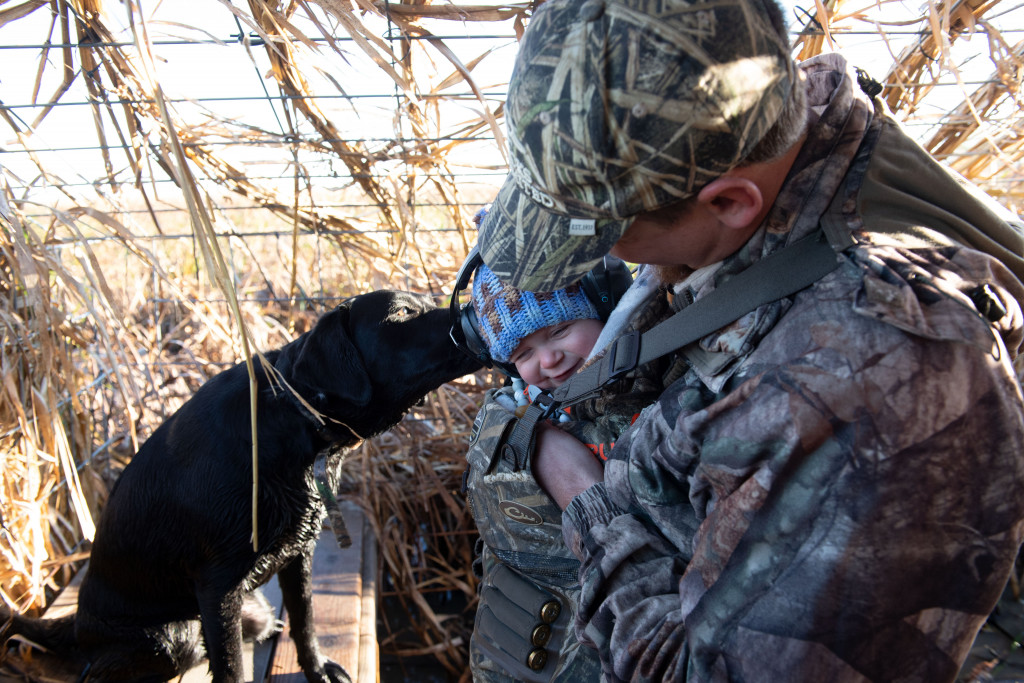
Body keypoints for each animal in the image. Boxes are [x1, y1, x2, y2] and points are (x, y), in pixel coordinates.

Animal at [1, 290, 479, 683]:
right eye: (401, 313)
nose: (471, 307)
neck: (292, 419)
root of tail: (76, 621)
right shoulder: (219, 586)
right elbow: (230, 667)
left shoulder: (298, 553)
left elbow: (305, 620)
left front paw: (317, 669)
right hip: (171, 635)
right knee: (107, 667)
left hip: (250, 610)